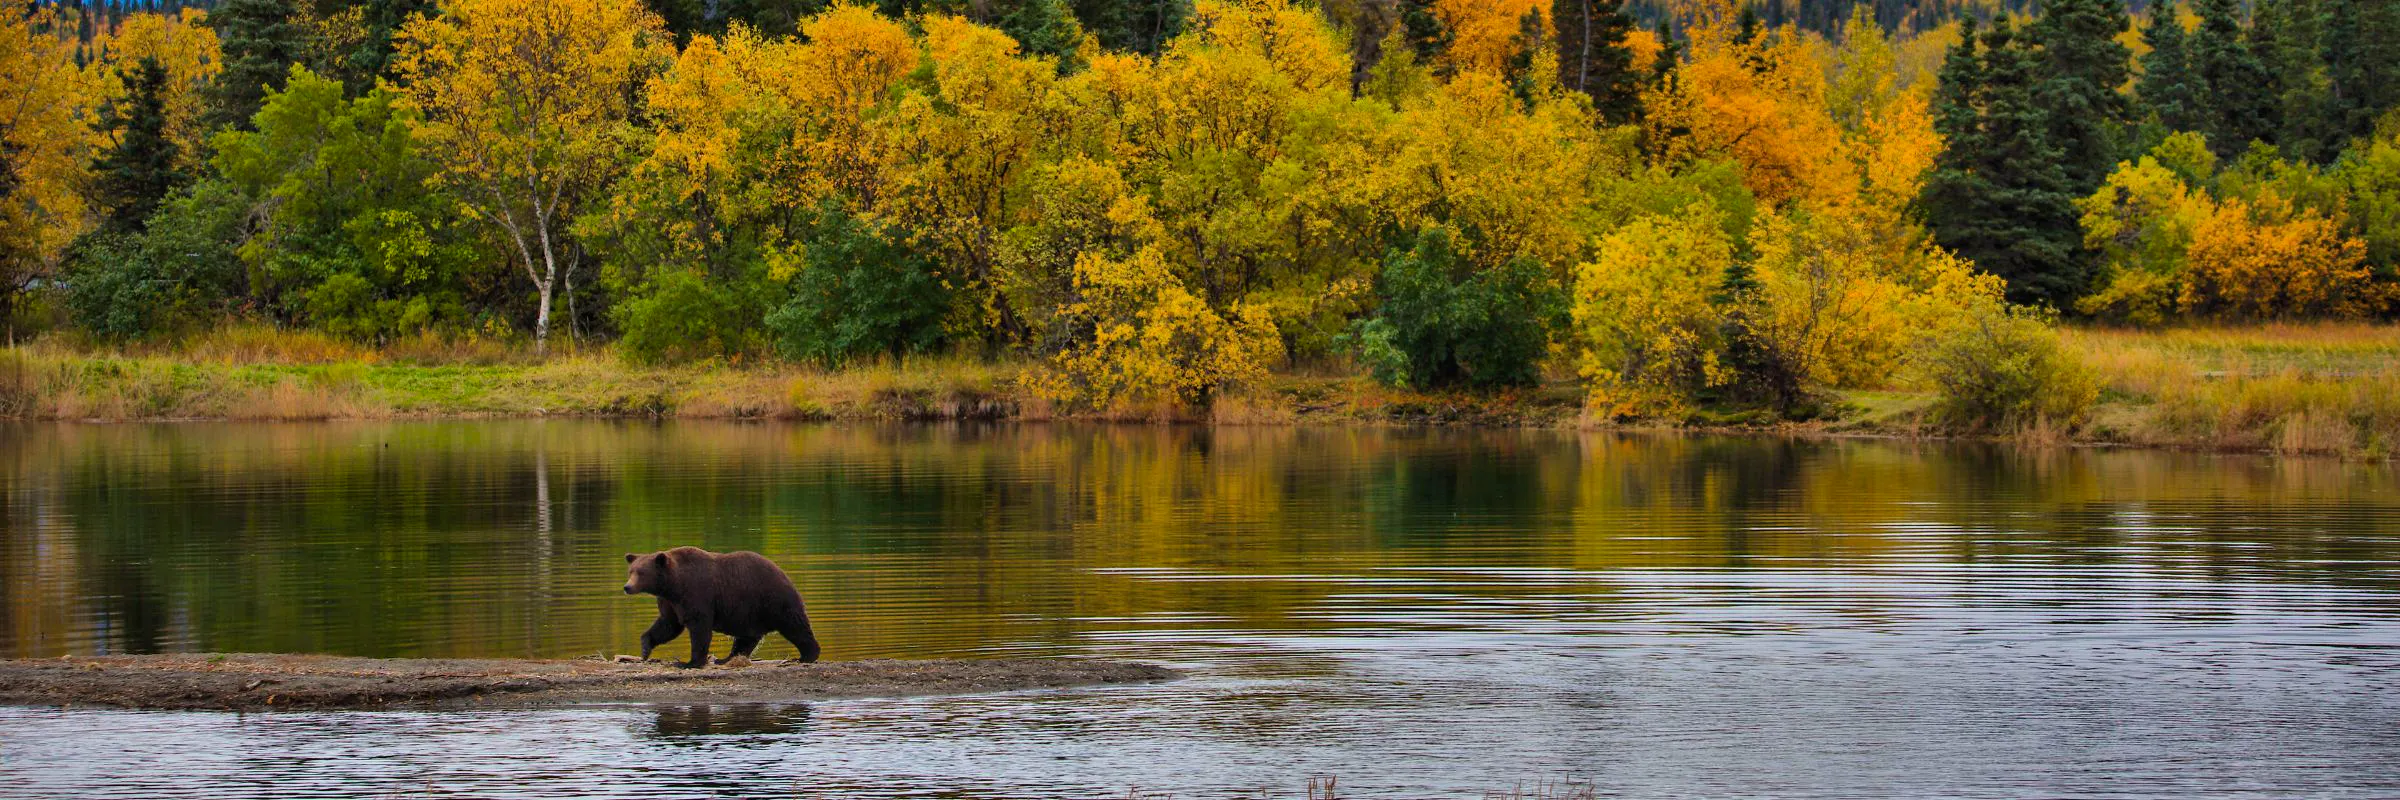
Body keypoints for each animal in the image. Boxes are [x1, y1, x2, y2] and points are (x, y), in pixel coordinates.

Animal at [623, 547, 822, 668]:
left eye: (642, 573)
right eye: (631, 571)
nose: (627, 587)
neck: (674, 584)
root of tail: (783, 573)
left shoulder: (697, 594)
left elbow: (699, 628)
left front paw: (690, 662)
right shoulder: (670, 602)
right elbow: (668, 625)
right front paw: (645, 648)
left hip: (772, 599)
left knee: (794, 625)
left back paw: (807, 655)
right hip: (748, 611)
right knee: (747, 636)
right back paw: (726, 658)